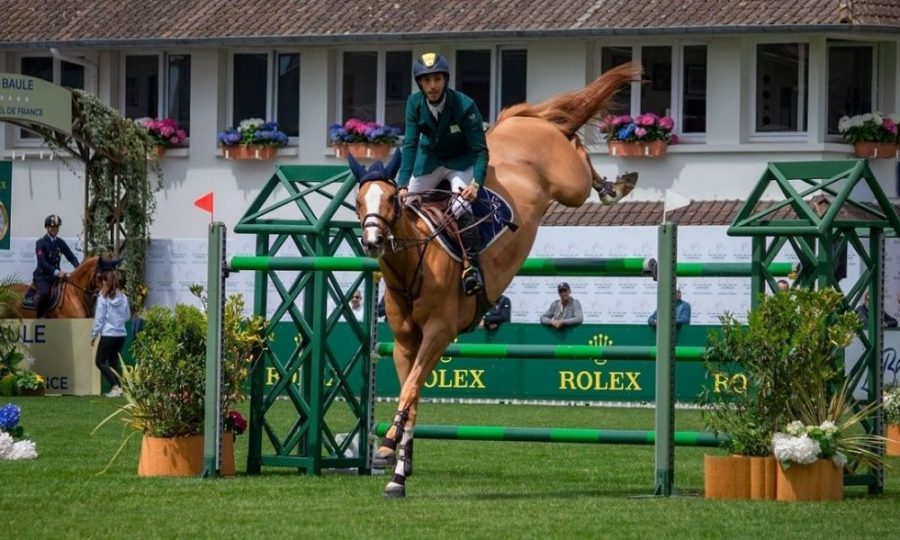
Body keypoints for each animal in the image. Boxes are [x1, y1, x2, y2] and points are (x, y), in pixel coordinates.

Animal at [352, 63, 642, 497]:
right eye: (357, 202)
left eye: (389, 201)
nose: (372, 241)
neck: (411, 265)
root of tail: (515, 124)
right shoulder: (405, 343)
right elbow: (411, 394)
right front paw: (398, 470)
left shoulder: (439, 333)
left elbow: (410, 390)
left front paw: (387, 450)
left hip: (567, 182)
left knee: (575, 148)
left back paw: (615, 187)